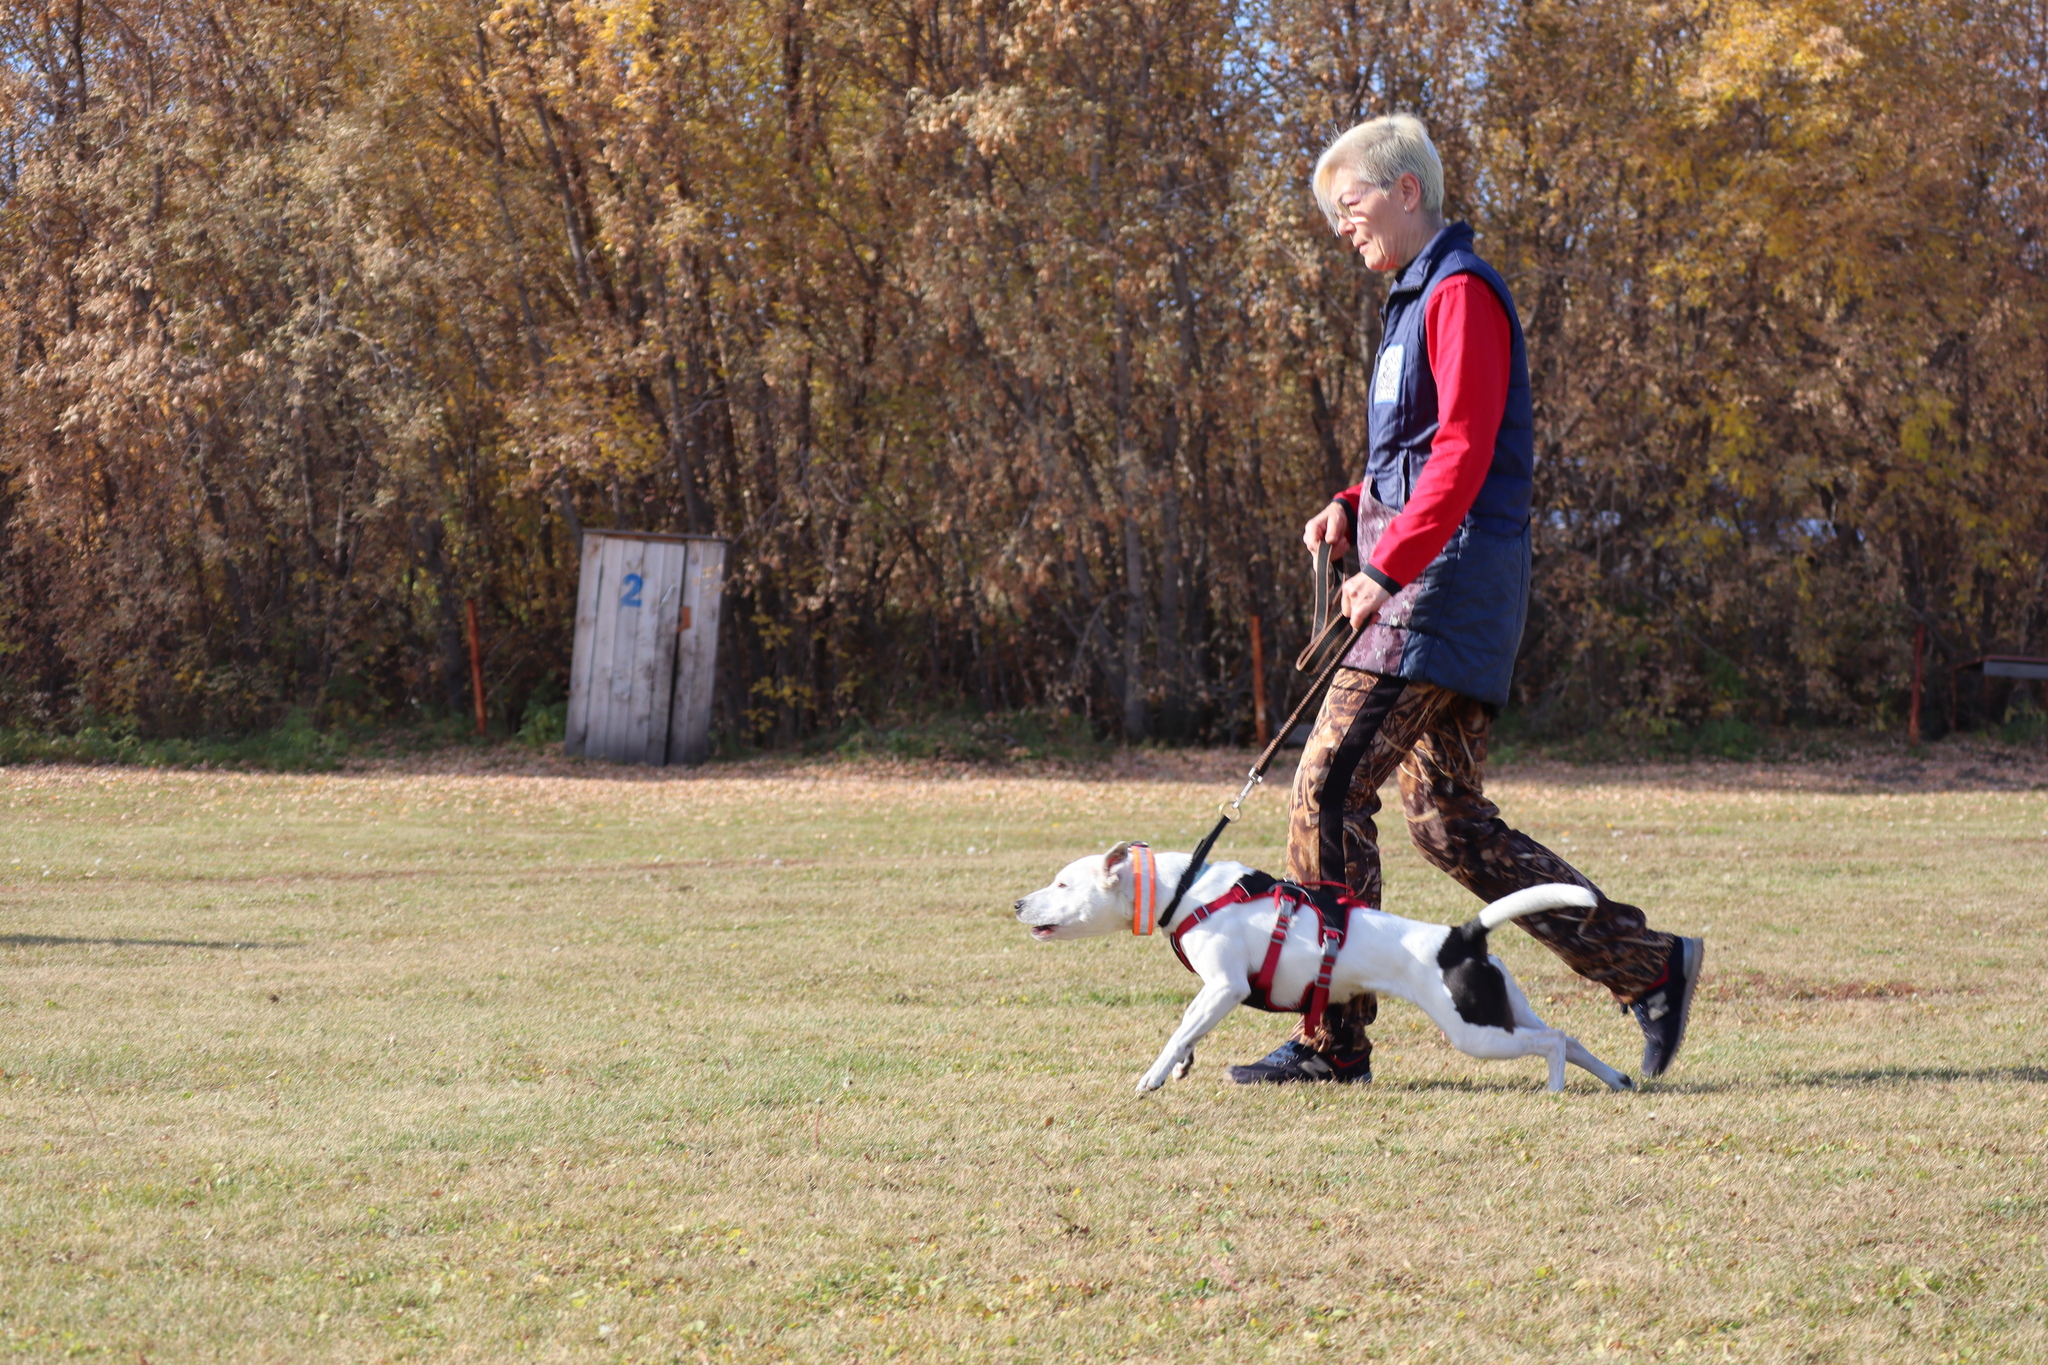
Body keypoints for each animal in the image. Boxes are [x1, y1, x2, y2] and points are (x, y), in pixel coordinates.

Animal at [1015, 843, 1638, 1096]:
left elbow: (1176, 1032)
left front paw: (1151, 1077)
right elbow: (1188, 1031)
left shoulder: (1224, 987)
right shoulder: (1210, 994)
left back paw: (1555, 1089)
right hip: (1500, 1009)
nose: (1019, 904)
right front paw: (1180, 1066)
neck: (1187, 888)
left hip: (1475, 1032)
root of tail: (1461, 936)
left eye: (1063, 884)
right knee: (1570, 1037)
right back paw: (1615, 1080)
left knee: (1553, 1042)